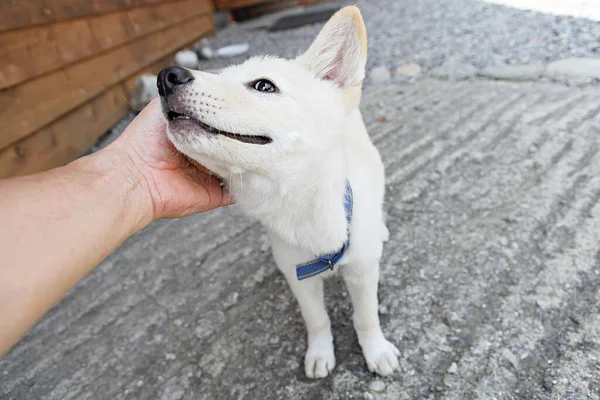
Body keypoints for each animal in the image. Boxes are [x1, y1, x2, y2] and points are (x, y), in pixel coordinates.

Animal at [156, 7, 398, 378]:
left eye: (263, 85)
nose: (166, 76)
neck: (302, 204)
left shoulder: (362, 271)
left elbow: (366, 316)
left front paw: (375, 350)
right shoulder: (299, 278)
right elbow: (316, 319)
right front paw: (320, 353)